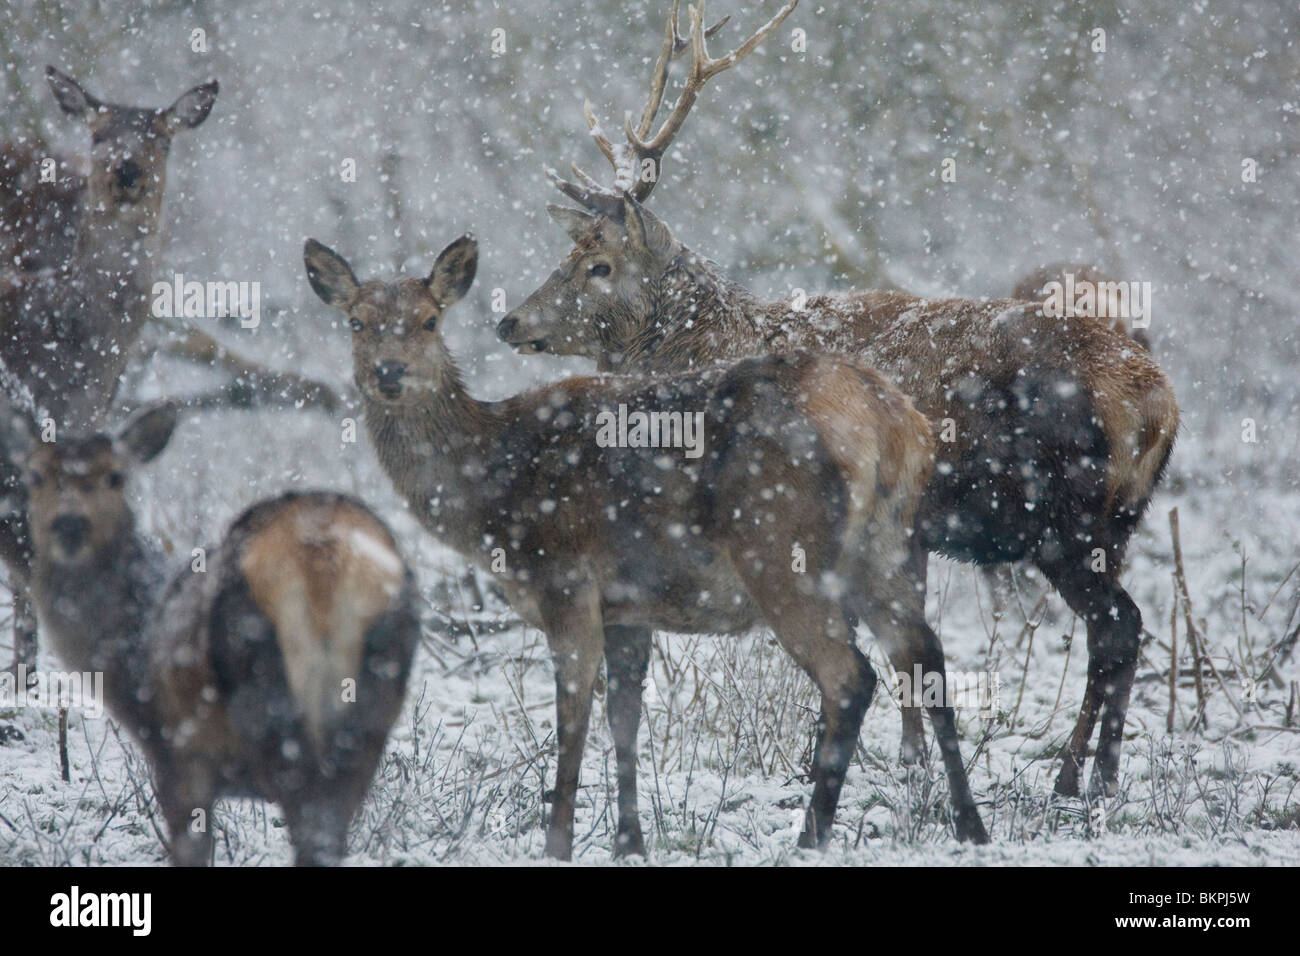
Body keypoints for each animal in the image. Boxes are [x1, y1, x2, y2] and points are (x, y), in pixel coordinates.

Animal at [0, 403, 416, 868]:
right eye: (36, 476)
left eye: (116, 476)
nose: (69, 525)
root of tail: (323, 557)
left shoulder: (177, 754)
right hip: (379, 691)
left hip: (262, 681)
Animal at [304, 235, 982, 858]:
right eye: (356, 322)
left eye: (429, 320)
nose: (389, 372)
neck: (494, 489)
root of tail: (891, 420)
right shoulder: (629, 605)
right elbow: (624, 721)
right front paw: (629, 842)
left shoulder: (565, 580)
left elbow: (573, 720)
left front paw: (558, 844)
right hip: (889, 548)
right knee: (924, 654)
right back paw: (968, 825)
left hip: (783, 551)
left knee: (851, 676)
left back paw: (811, 836)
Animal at [493, 0, 1180, 801]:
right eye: (567, 254)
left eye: (599, 264)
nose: (510, 321)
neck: (717, 346)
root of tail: (1157, 399)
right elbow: (908, 651)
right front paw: (912, 765)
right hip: (1118, 524)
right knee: (1122, 631)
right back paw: (1098, 775)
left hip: (1065, 520)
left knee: (1118, 627)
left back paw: (1076, 777)